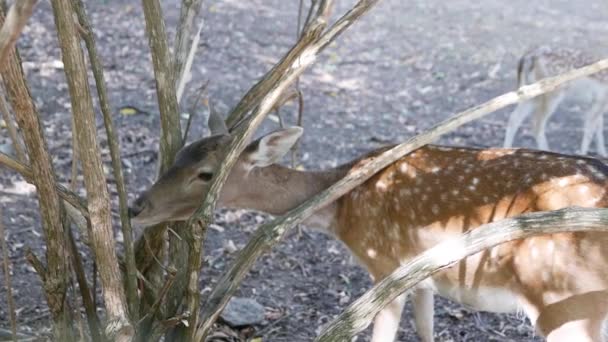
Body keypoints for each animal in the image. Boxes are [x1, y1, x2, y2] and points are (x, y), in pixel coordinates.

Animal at [131, 111, 608, 340]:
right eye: (180, 153)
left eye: (205, 174)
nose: (137, 206)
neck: (341, 209)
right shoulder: (420, 275)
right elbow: (427, 332)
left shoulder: (384, 265)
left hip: (565, 303)